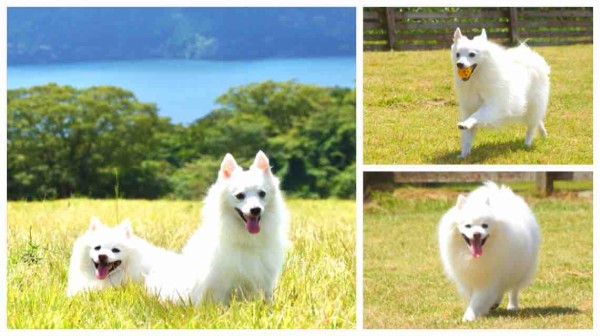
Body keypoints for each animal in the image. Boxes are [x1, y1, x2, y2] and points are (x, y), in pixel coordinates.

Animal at [144, 150, 290, 304]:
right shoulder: (220, 283)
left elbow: (266, 298)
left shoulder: (264, 281)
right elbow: (220, 302)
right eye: (240, 196)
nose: (255, 209)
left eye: (262, 194)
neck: (245, 237)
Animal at [438, 182, 540, 322]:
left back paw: (512, 305)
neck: (473, 257)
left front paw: (469, 316)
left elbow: (478, 299)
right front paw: (480, 311)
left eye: (484, 225)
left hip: (520, 270)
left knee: (513, 289)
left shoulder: (488, 279)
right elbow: (473, 297)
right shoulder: (468, 278)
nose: (476, 234)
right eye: (468, 226)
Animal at [452, 26, 552, 158]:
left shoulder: (493, 105)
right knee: (536, 120)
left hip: (534, 104)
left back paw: (527, 143)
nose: (459, 64)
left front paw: (466, 123)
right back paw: (543, 133)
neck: (477, 78)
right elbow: (467, 137)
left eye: (472, 54)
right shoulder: (469, 108)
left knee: (531, 126)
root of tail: (530, 57)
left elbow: (478, 115)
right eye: (457, 55)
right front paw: (463, 155)